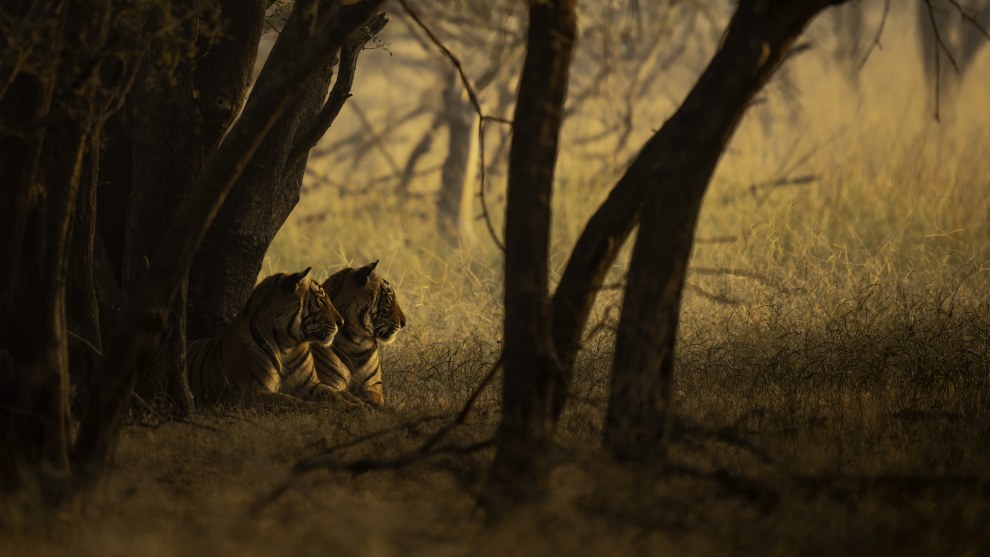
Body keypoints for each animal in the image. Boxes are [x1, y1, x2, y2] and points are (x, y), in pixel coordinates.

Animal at [187, 267, 354, 406]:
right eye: (320, 300)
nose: (341, 322)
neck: (287, 347)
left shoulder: (309, 385)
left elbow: (337, 394)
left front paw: (357, 406)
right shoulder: (249, 391)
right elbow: (289, 401)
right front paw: (318, 407)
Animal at [313, 260, 406, 408]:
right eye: (389, 298)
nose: (404, 322)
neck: (357, 342)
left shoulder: (373, 386)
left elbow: (373, 400)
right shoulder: (328, 382)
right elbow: (338, 396)